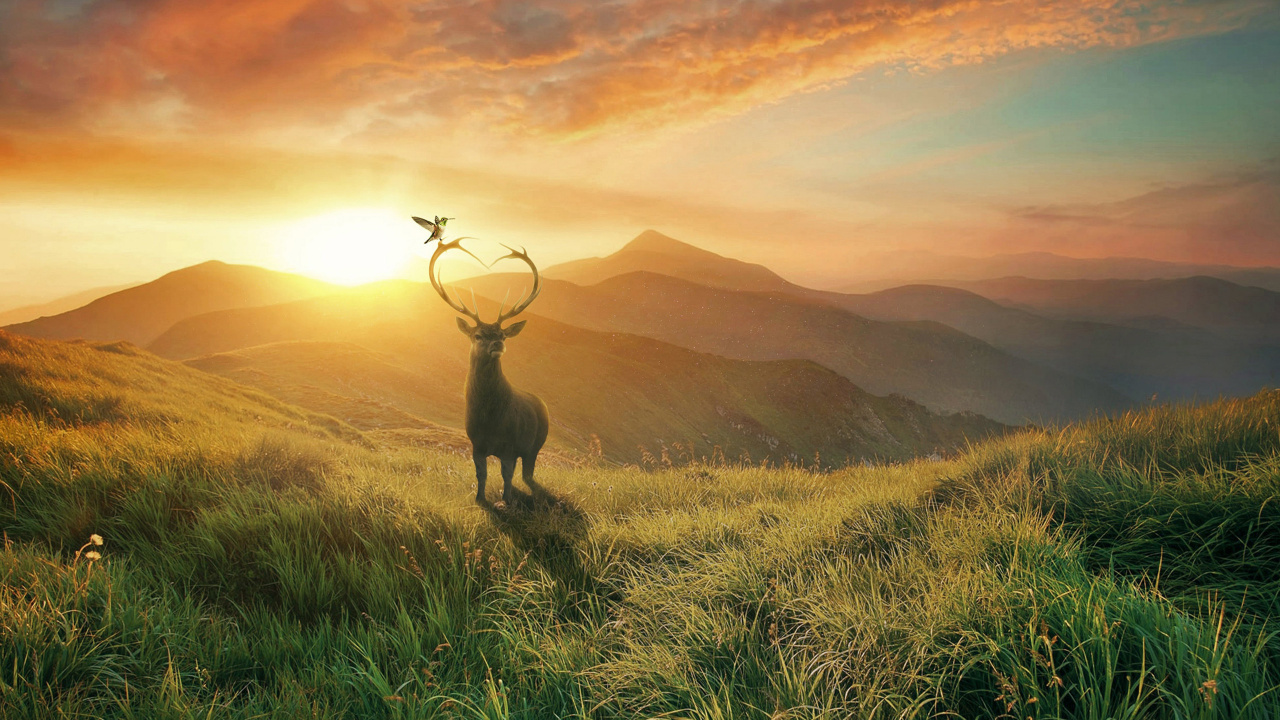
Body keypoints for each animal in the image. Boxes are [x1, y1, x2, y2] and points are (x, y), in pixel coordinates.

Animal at [414, 217, 550, 505]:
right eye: (477, 335)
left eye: (503, 335)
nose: (498, 344)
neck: (490, 420)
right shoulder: (475, 444)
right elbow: (481, 474)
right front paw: (479, 499)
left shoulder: (510, 445)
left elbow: (507, 475)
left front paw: (507, 501)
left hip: (536, 444)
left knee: (528, 473)